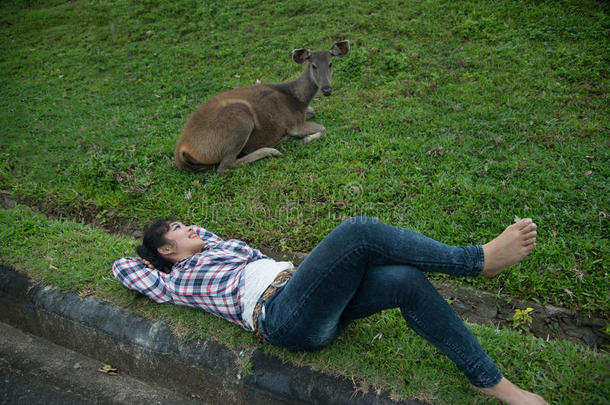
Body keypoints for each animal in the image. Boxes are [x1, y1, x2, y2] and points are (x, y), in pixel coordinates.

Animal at [173, 40, 350, 172]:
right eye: (313, 65)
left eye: (331, 63)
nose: (327, 90)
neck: (297, 99)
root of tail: (182, 146)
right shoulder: (294, 124)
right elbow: (322, 127)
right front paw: (304, 140)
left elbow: (313, 111)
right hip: (240, 118)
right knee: (225, 165)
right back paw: (273, 149)